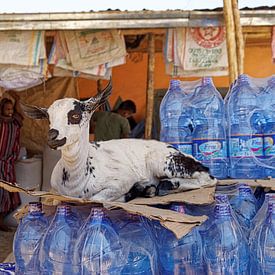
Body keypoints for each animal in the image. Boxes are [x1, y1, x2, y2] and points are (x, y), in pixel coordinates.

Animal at [21, 81, 218, 203]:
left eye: (75, 115)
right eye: (48, 118)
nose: (52, 136)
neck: (76, 179)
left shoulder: (122, 179)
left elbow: (95, 198)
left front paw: (132, 192)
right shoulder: (53, 192)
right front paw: (143, 189)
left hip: (164, 161)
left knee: (208, 177)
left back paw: (166, 185)